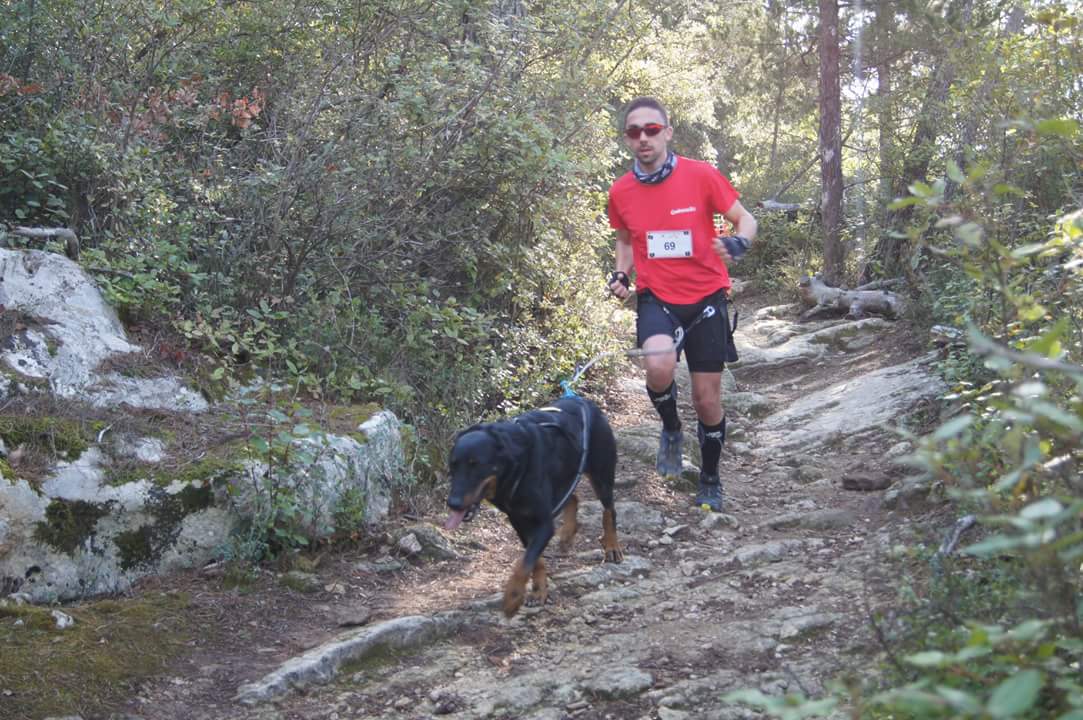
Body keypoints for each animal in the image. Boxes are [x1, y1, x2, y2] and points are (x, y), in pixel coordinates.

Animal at [444, 396, 623, 614]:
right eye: (452, 466)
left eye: (476, 465)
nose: (452, 503)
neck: (515, 466)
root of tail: (584, 400)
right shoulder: (518, 521)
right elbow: (534, 560)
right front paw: (538, 591)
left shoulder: (543, 524)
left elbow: (525, 562)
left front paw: (513, 596)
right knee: (573, 497)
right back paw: (567, 534)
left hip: (601, 474)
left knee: (609, 509)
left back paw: (612, 546)